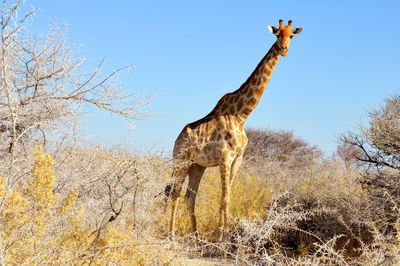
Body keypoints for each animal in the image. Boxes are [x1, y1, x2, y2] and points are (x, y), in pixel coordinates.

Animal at [167, 19, 302, 240]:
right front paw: (221, 239)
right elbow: (225, 198)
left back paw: (195, 236)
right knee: (175, 194)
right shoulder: (225, 158)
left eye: (291, 35)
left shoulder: (238, 159)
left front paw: (224, 235)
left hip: (198, 166)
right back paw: (171, 236)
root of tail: (177, 138)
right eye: (277, 34)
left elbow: (227, 197)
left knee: (189, 196)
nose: (283, 50)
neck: (241, 115)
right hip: (181, 161)